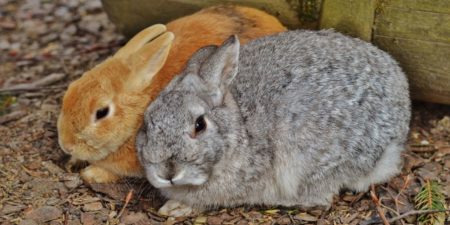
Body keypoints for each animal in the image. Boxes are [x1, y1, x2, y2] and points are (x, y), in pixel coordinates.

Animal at [136, 29, 412, 215]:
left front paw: (176, 208)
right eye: (147, 123)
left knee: (320, 196)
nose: (167, 173)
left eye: (199, 125)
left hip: (311, 160)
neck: (239, 128)